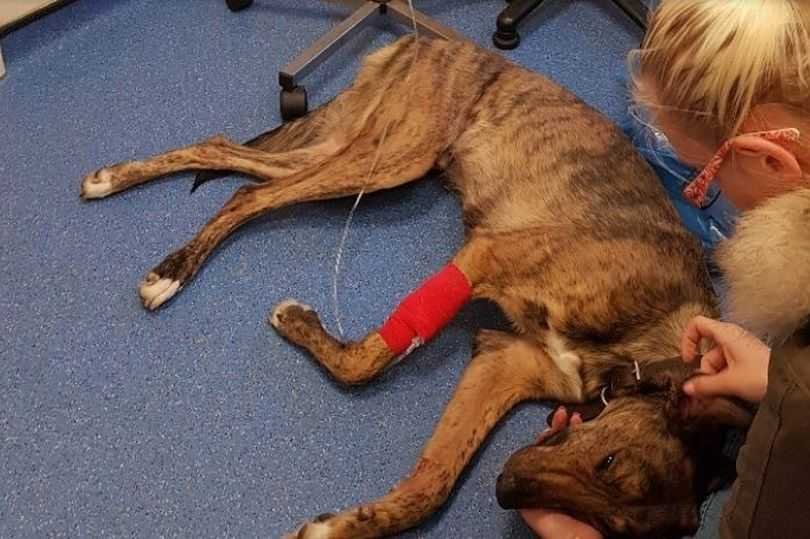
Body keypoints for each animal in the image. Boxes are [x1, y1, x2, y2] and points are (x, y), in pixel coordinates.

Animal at [80, 35, 752, 536]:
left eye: (613, 526)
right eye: (611, 464)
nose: (505, 488)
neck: (639, 352)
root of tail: (426, 38)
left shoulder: (503, 362)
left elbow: (434, 481)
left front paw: (348, 524)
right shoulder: (484, 258)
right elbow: (373, 360)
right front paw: (307, 329)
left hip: (360, 148)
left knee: (230, 155)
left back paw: (113, 179)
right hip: (392, 157)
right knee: (251, 194)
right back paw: (171, 270)